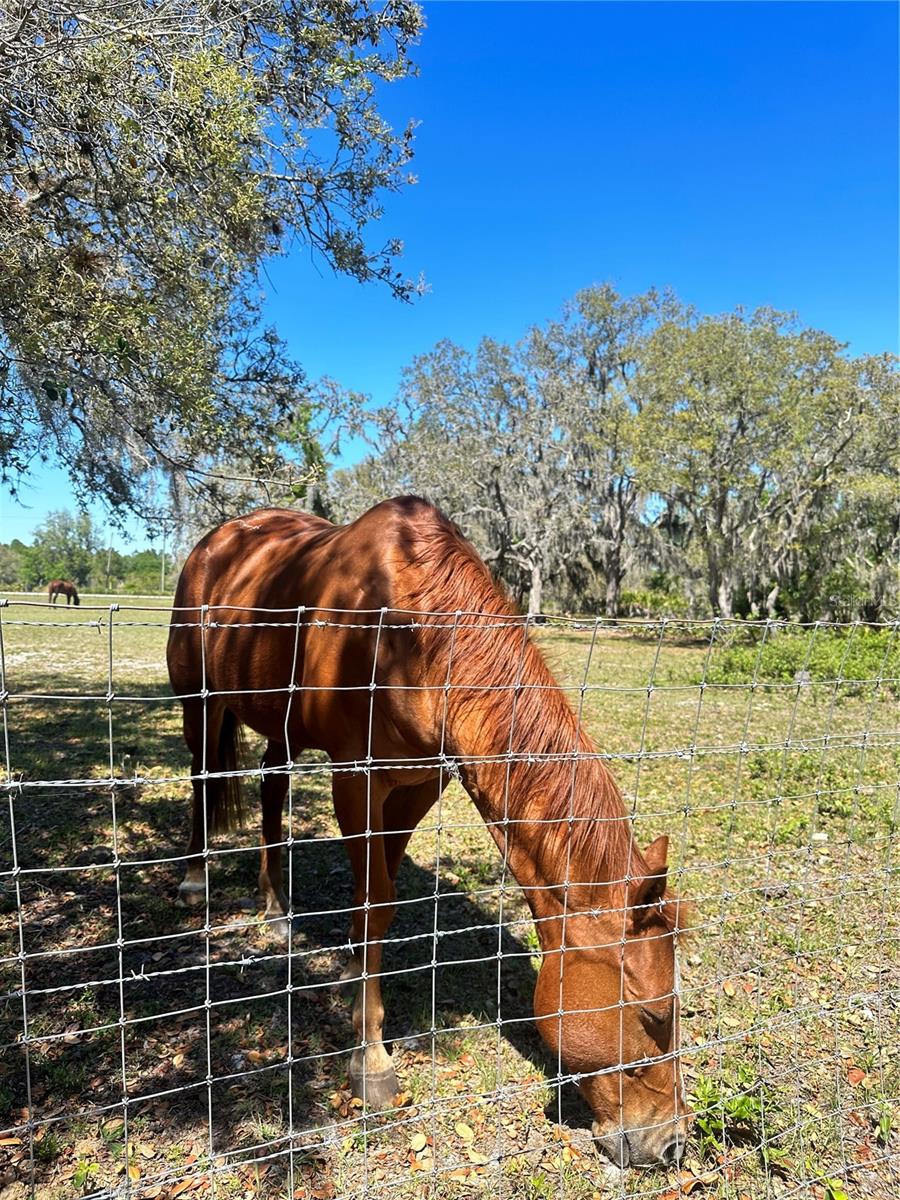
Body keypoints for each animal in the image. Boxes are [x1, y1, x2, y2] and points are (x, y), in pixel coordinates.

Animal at [169, 494, 691, 1161]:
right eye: (653, 1014)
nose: (671, 1142)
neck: (411, 631)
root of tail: (219, 539)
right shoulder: (357, 780)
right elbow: (375, 901)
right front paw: (370, 1061)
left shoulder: (419, 785)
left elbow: (382, 895)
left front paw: (352, 981)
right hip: (200, 701)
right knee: (202, 777)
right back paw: (194, 879)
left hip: (280, 727)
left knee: (270, 789)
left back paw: (276, 907)